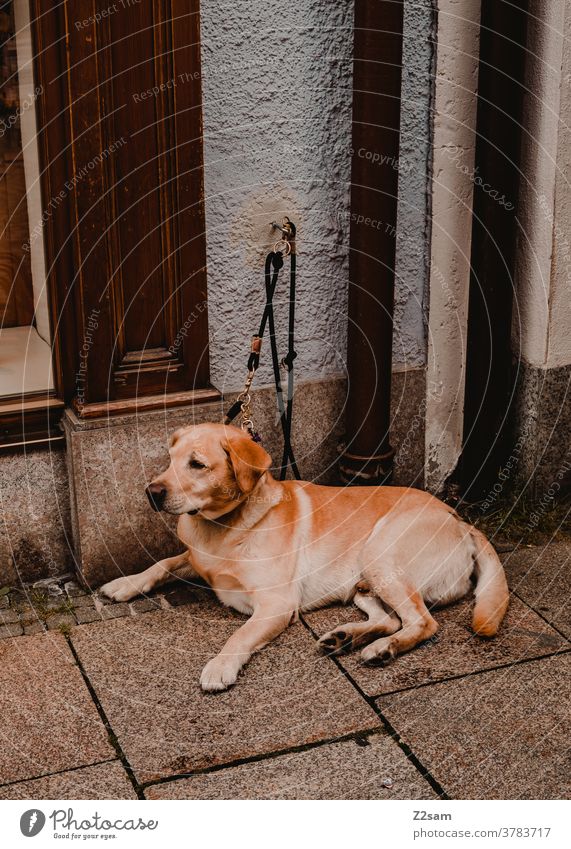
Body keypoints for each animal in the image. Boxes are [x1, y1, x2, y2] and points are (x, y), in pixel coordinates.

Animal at [98, 420, 510, 692]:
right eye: (170, 460)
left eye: (197, 464)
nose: (152, 492)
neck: (224, 527)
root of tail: (461, 521)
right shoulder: (194, 558)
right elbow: (163, 563)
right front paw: (126, 583)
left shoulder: (276, 603)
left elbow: (239, 635)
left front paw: (220, 665)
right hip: (365, 581)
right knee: (392, 619)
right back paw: (345, 638)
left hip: (381, 553)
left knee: (423, 622)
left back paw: (382, 649)